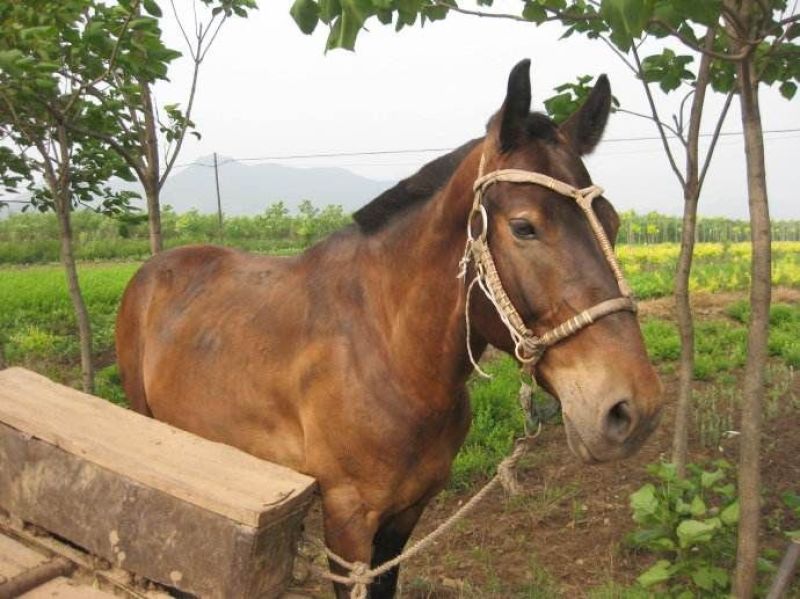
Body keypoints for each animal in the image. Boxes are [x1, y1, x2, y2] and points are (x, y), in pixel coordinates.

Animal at [116, 60, 664, 598]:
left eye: (613, 222)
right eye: (524, 227)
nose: (633, 409)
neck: (389, 355)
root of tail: (152, 269)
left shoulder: (405, 514)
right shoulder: (348, 520)